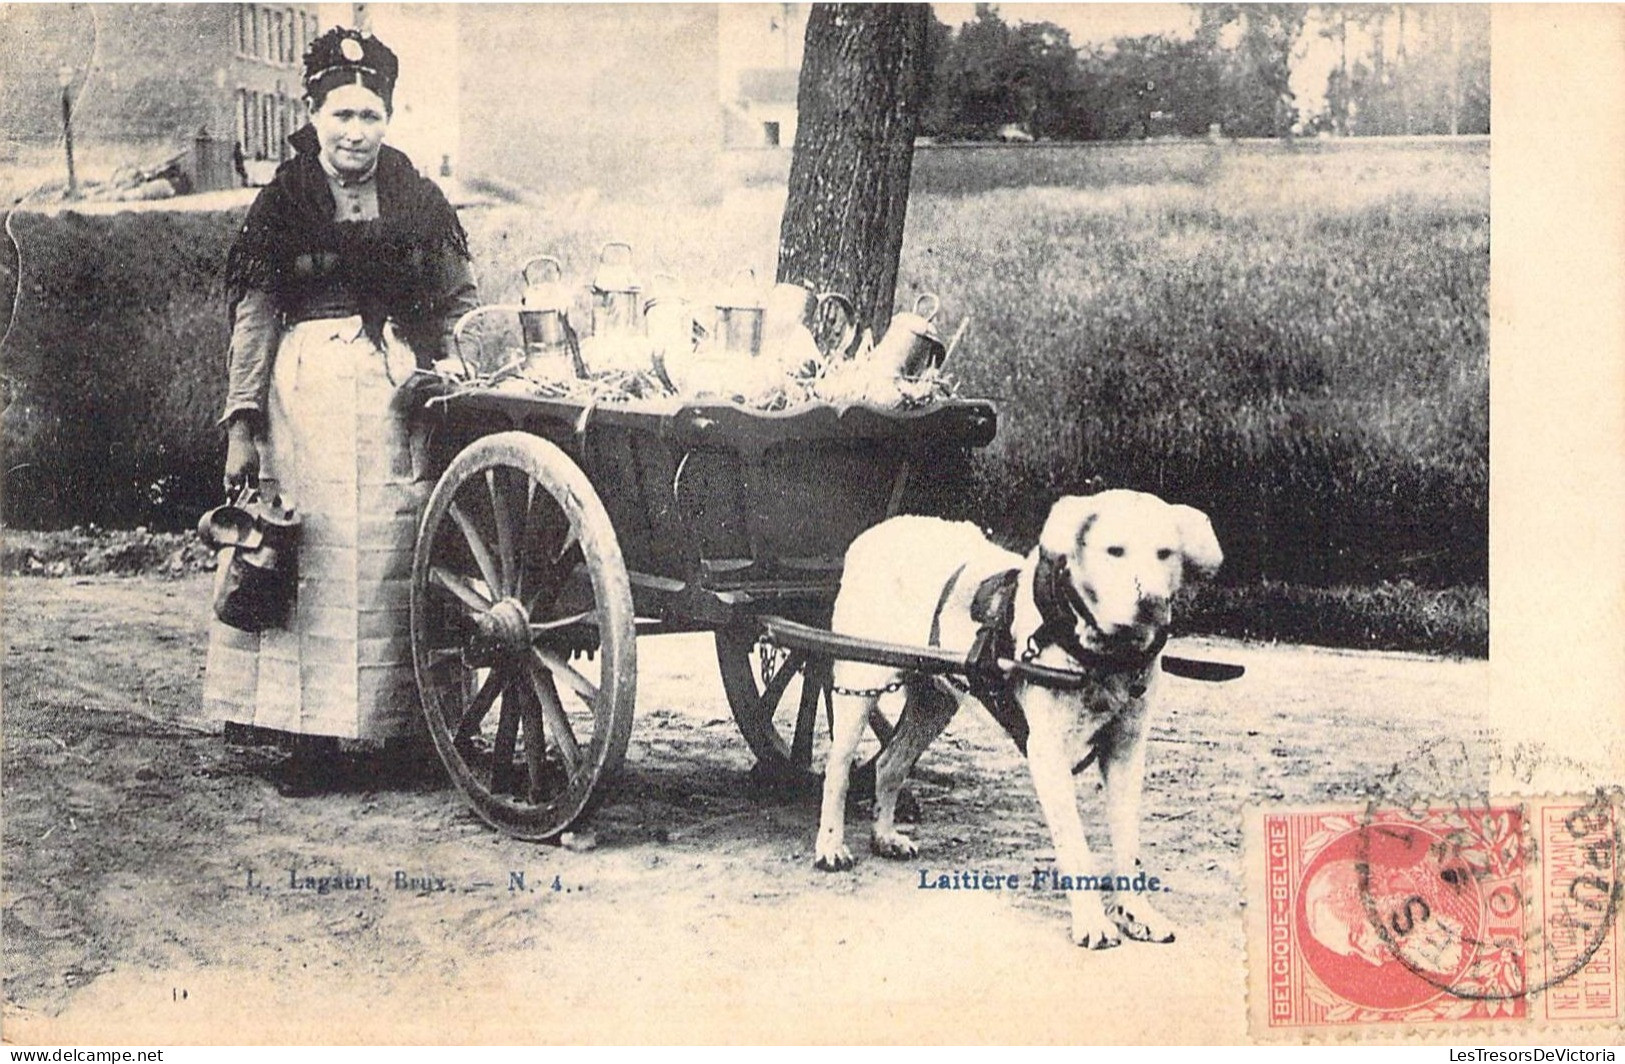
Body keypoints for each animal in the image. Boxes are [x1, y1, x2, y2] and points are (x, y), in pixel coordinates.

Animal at [812, 490, 1222, 948]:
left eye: (1165, 553)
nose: (1150, 602)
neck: (1100, 652)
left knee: (889, 764)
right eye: (1114, 550)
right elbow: (1075, 844)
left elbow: (1128, 841)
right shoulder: (1047, 754)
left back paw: (884, 836)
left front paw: (1136, 912)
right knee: (838, 771)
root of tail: (871, 536)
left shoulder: (1126, 751)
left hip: (934, 702)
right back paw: (830, 846)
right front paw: (1092, 921)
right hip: (858, 685)